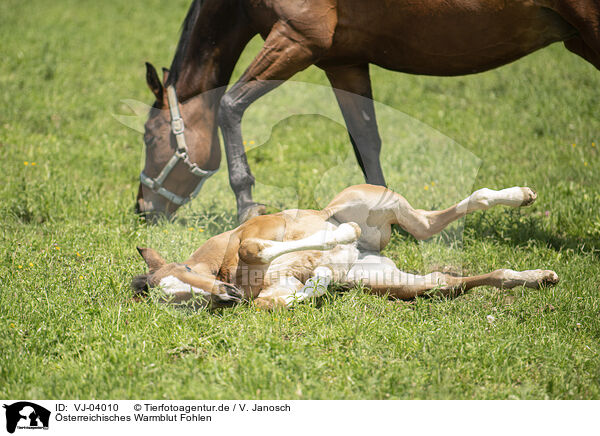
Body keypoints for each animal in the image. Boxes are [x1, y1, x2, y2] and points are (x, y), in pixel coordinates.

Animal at [131, 184, 556, 310]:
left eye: (188, 273)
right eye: (183, 300)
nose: (228, 295)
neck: (221, 266)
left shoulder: (261, 230)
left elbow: (256, 246)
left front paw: (336, 242)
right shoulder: (271, 296)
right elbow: (288, 296)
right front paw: (317, 277)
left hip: (374, 201)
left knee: (429, 221)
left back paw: (521, 196)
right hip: (390, 281)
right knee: (448, 278)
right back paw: (539, 277)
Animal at [136, 0, 600, 220]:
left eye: (150, 136)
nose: (141, 208)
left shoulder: (298, 40)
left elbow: (230, 106)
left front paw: (247, 204)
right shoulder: (344, 63)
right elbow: (366, 140)